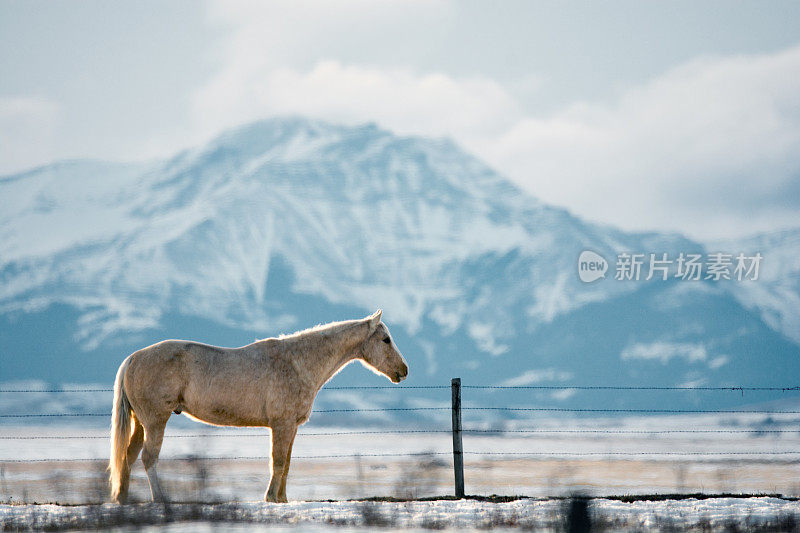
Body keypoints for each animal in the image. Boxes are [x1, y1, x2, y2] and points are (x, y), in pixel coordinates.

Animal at [108, 310, 406, 500]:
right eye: (385, 339)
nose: (403, 371)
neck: (297, 362)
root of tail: (133, 358)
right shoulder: (281, 425)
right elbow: (278, 461)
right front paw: (271, 498)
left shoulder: (291, 427)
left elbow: (287, 463)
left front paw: (282, 499)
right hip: (156, 421)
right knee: (148, 458)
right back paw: (161, 500)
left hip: (141, 423)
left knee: (128, 456)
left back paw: (123, 499)